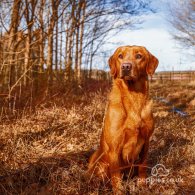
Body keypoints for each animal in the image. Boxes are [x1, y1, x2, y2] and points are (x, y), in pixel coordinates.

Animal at [88, 45, 158, 193]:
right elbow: (116, 175)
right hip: (99, 162)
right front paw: (119, 191)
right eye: (120, 56)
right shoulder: (114, 147)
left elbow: (143, 166)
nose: (126, 66)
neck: (133, 98)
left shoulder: (146, 142)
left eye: (139, 56)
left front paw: (142, 186)